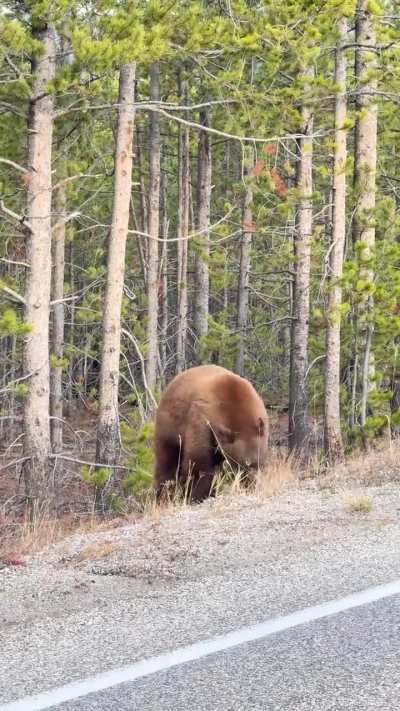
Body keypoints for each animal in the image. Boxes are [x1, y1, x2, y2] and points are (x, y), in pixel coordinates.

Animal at [153, 364, 269, 503]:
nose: (250, 476)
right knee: (167, 462)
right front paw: (198, 495)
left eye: (255, 462)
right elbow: (198, 464)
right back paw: (163, 495)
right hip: (169, 427)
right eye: (242, 463)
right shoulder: (202, 423)